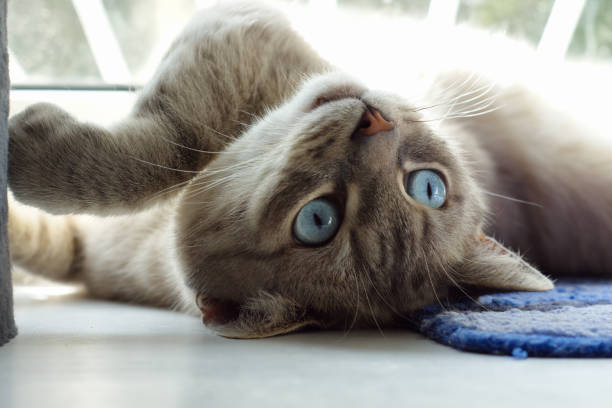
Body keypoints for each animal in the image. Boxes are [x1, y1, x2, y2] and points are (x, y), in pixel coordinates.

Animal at [5, 0, 612, 338]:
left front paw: (28, 146)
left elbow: (168, 146)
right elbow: (41, 239)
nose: (373, 120)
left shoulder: (238, 32)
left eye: (317, 220)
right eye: (429, 186)